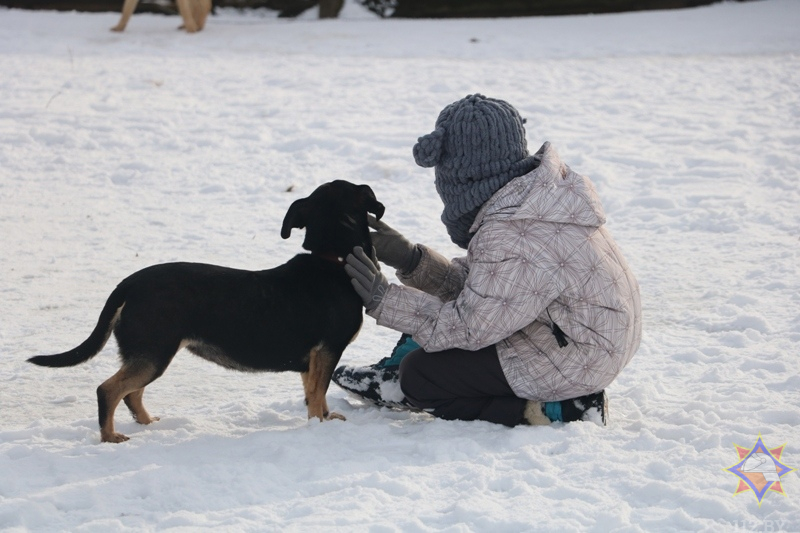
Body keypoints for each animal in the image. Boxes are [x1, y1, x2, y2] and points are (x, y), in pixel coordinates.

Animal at [28, 181, 384, 442]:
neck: (334, 259)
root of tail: (128, 285)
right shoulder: (327, 350)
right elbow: (317, 393)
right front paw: (320, 427)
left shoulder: (313, 359)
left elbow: (314, 395)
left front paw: (324, 419)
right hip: (153, 351)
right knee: (109, 390)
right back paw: (110, 437)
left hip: (150, 353)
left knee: (131, 394)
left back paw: (148, 423)